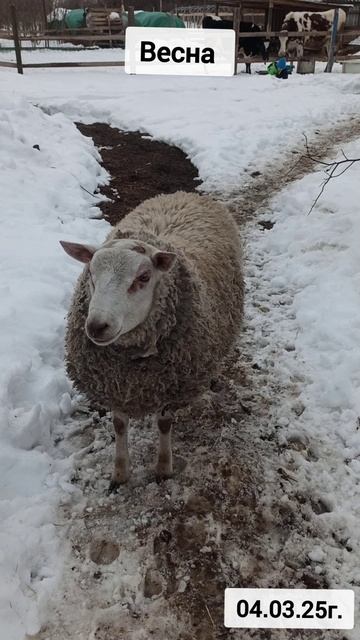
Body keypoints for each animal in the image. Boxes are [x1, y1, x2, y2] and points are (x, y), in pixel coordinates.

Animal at [60, 190, 243, 490]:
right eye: (91, 274)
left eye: (144, 277)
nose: (97, 326)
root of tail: (183, 194)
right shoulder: (114, 385)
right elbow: (119, 426)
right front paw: (120, 473)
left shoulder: (172, 386)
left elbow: (164, 425)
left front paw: (163, 468)